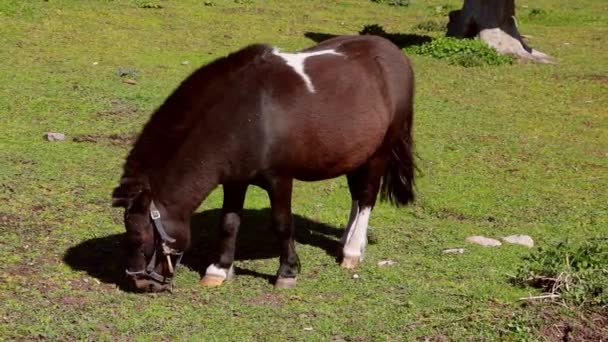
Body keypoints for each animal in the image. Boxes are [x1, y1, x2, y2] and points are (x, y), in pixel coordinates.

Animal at [111, 34, 416, 292]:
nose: (140, 283)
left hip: (379, 153)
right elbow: (229, 222)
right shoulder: (235, 179)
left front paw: (287, 272)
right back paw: (349, 240)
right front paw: (219, 270)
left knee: (366, 197)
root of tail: (393, 53)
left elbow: (282, 223)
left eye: (140, 238)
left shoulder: (279, 178)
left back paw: (351, 251)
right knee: (356, 194)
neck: (248, 115)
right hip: (356, 153)